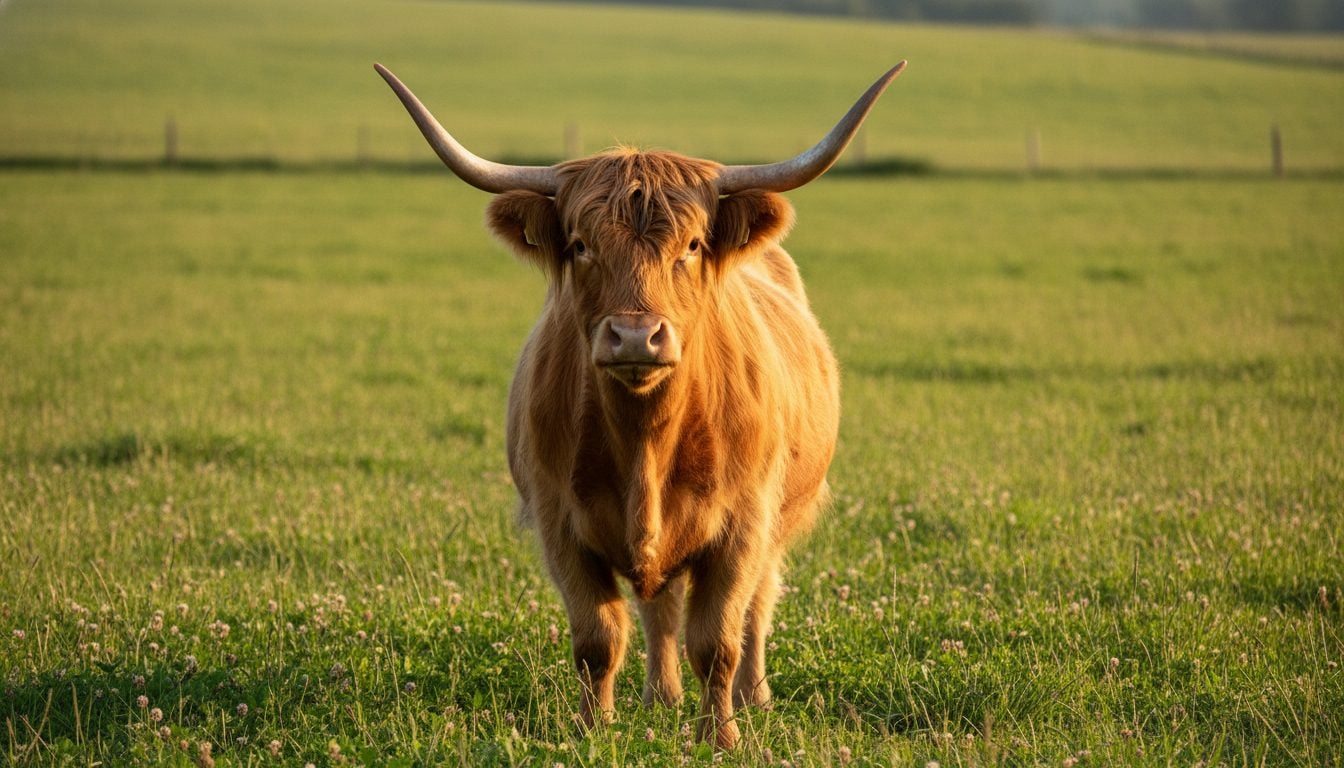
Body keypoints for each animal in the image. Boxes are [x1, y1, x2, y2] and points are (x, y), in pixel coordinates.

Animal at [376, 61, 904, 749]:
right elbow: (599, 638)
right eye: (579, 245)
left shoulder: (742, 524)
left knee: (757, 605)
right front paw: (593, 728)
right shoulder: (560, 524)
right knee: (661, 609)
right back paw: (661, 697)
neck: (645, 442)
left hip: (778, 521)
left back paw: (754, 698)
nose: (634, 336)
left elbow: (718, 641)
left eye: (693, 245)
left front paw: (720, 737)